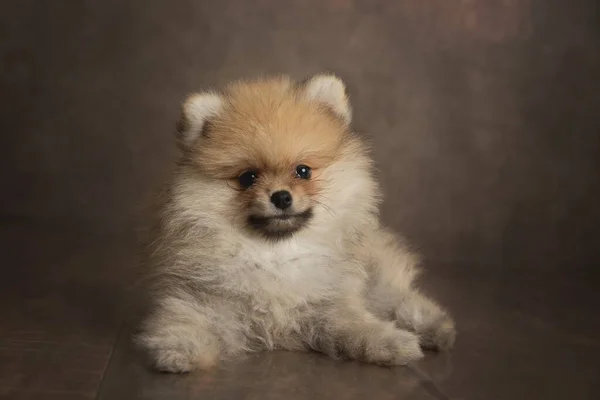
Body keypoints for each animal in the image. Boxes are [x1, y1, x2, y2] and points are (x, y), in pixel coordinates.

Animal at [136, 74, 454, 372]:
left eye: (303, 171)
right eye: (248, 177)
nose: (281, 196)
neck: (277, 254)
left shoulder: (331, 302)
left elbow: (357, 324)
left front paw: (392, 342)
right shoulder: (209, 298)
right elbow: (186, 317)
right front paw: (178, 348)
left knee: (398, 299)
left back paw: (436, 328)